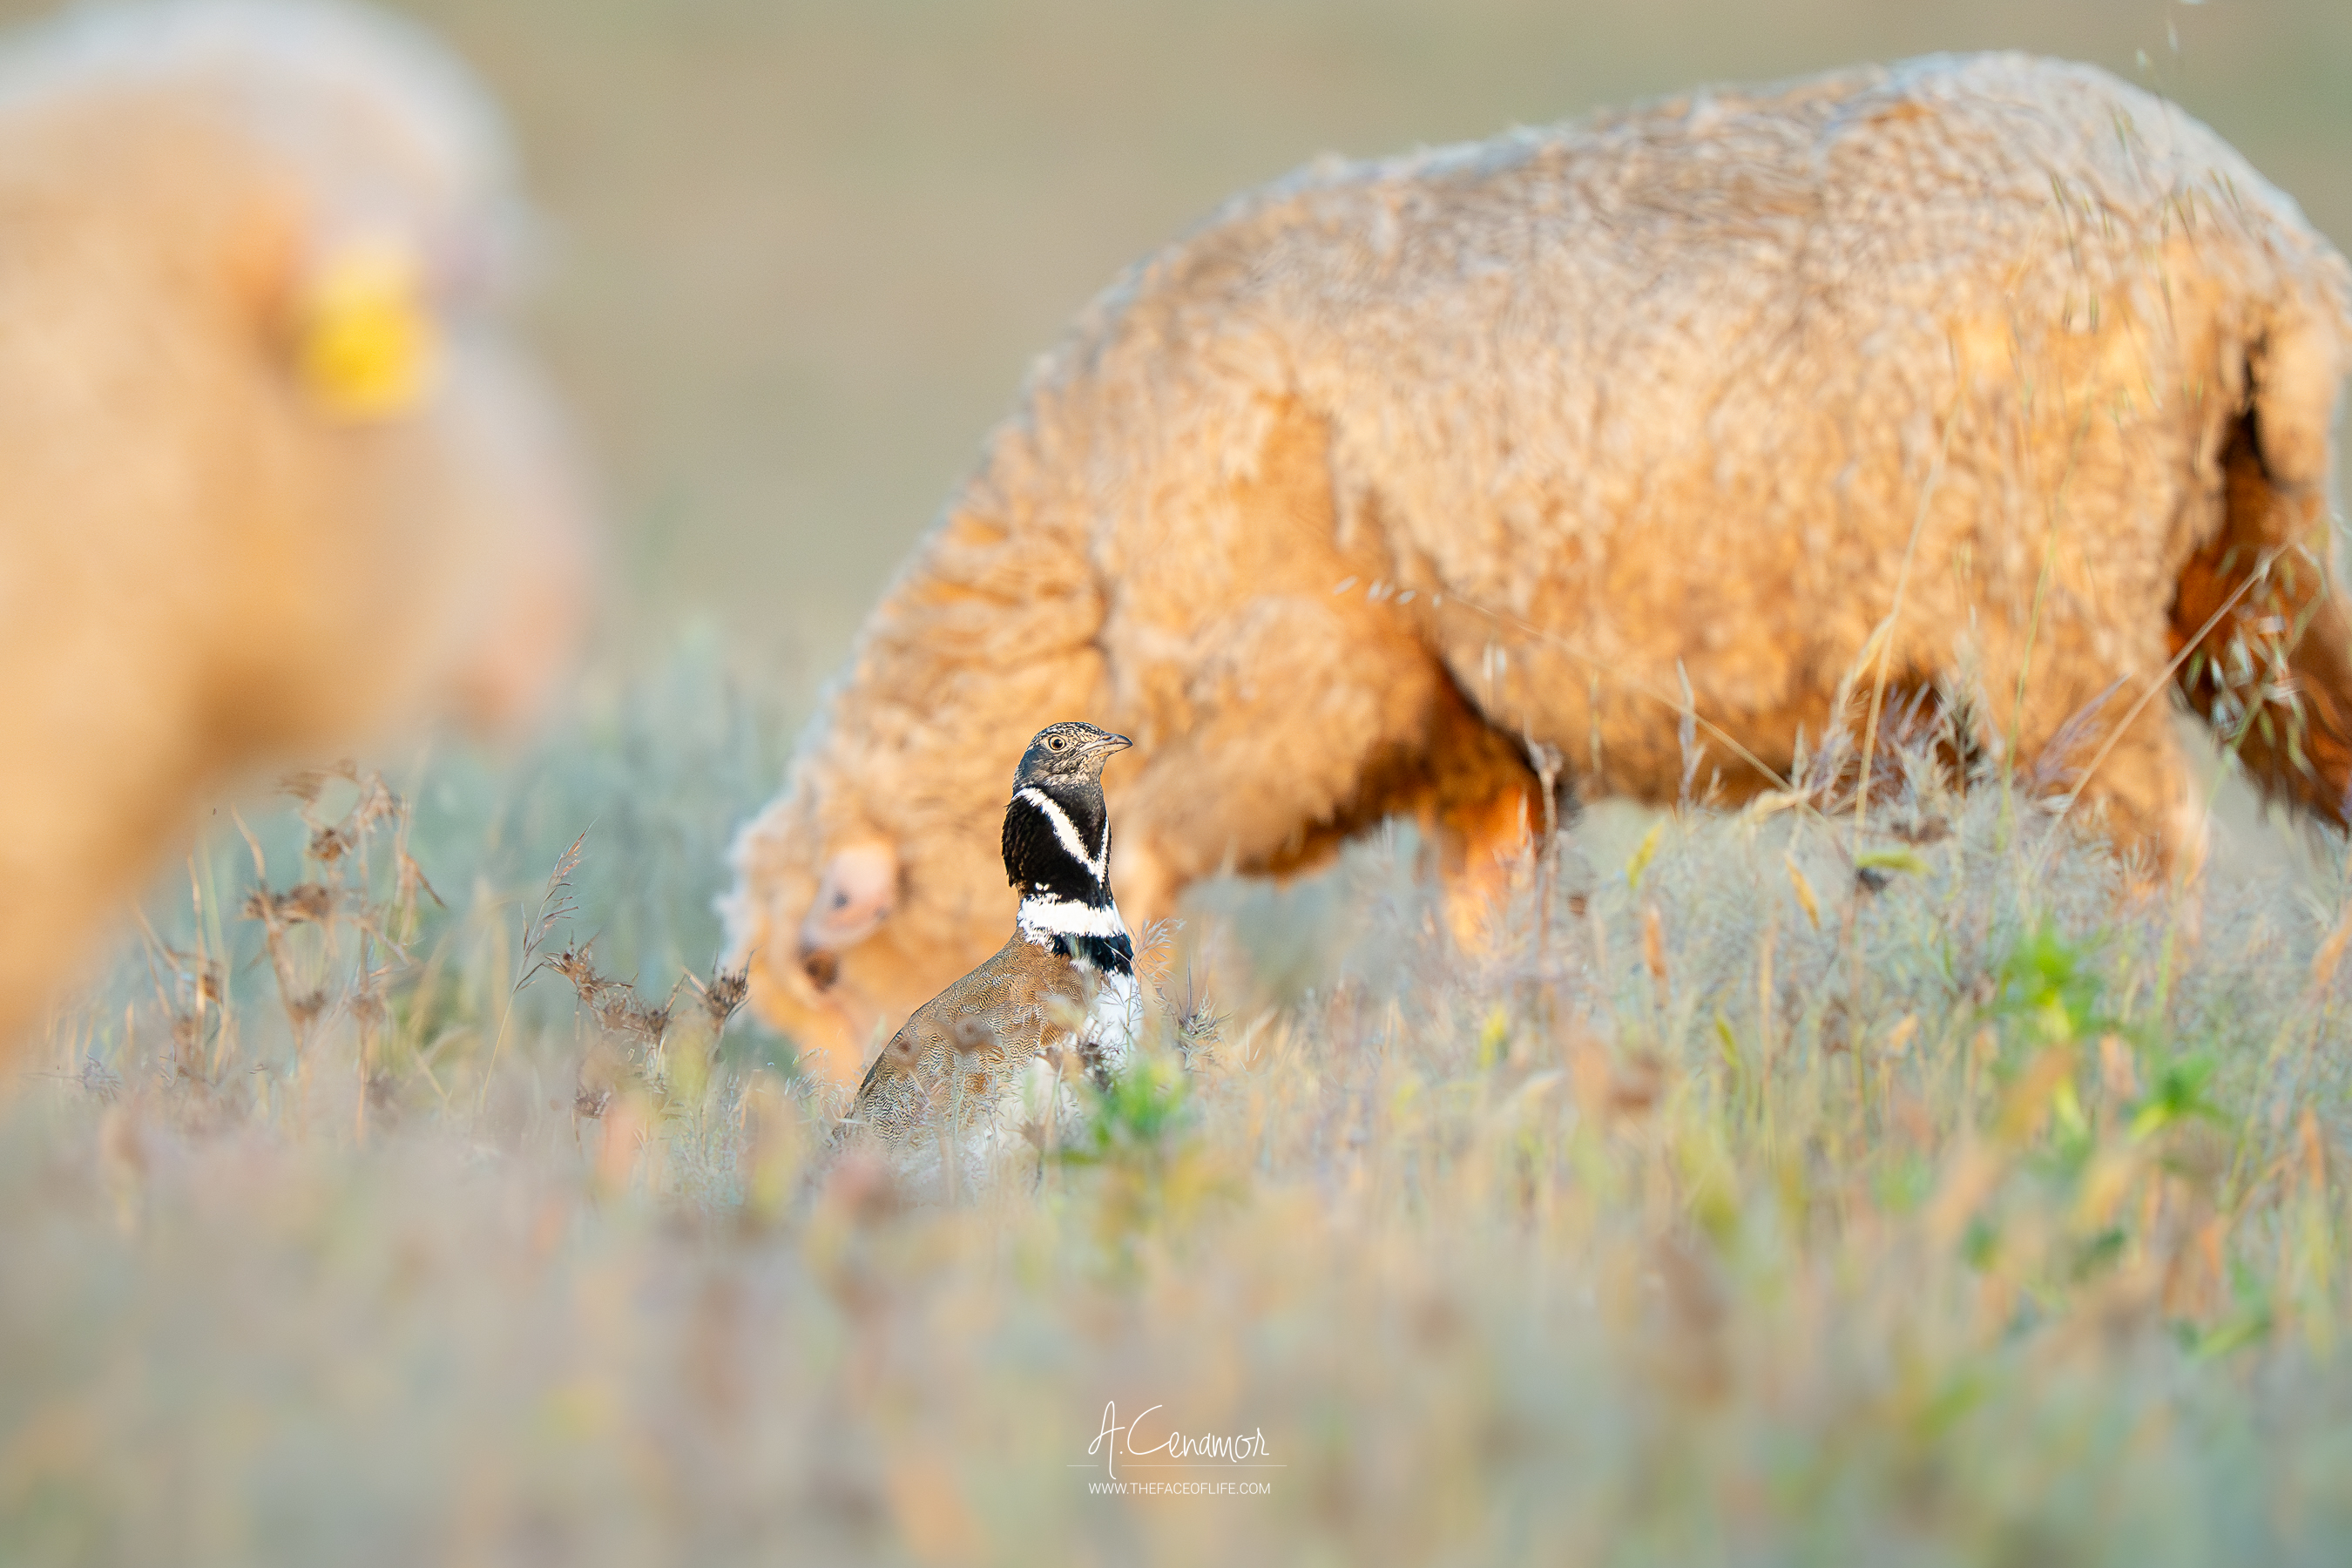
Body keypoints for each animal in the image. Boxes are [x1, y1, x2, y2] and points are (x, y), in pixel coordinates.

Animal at [726, 52, 2352, 1086]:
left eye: (830, 967)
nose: (884, 1153)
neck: (1081, 529)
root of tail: (2235, 221)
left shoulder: (1290, 693)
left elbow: (1167, 869)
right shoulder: (1480, 759)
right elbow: (1484, 942)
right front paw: (1489, 1070)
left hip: (2049, 594)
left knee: (2151, 851)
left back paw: (2129, 1034)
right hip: (2276, 578)